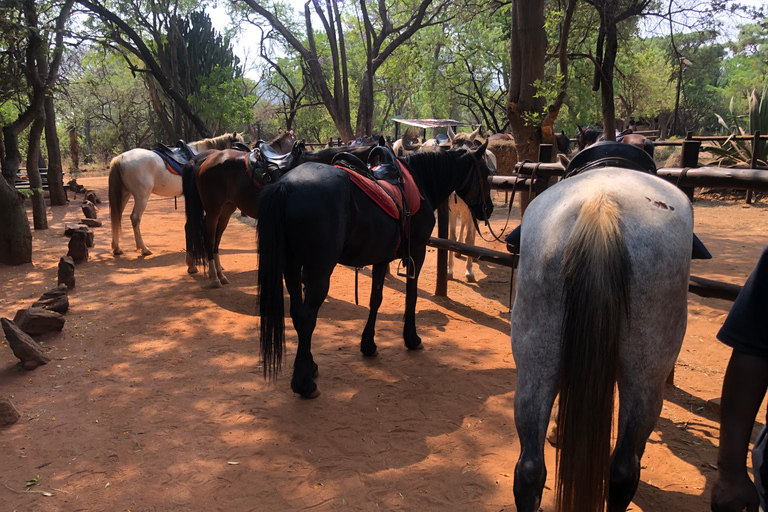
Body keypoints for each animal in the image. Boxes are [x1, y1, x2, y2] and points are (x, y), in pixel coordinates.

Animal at [108, 132, 243, 260]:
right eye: (237, 145)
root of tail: (120, 158)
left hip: (125, 194)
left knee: (116, 216)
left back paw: (117, 248)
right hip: (142, 197)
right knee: (135, 218)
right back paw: (144, 248)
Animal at [260, 142, 496, 398]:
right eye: (486, 173)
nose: (489, 209)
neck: (421, 181)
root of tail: (285, 185)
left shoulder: (382, 258)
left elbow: (376, 298)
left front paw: (368, 344)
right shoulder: (418, 251)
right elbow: (412, 296)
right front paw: (411, 338)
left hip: (292, 266)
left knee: (296, 312)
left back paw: (310, 366)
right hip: (319, 270)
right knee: (306, 316)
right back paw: (304, 383)